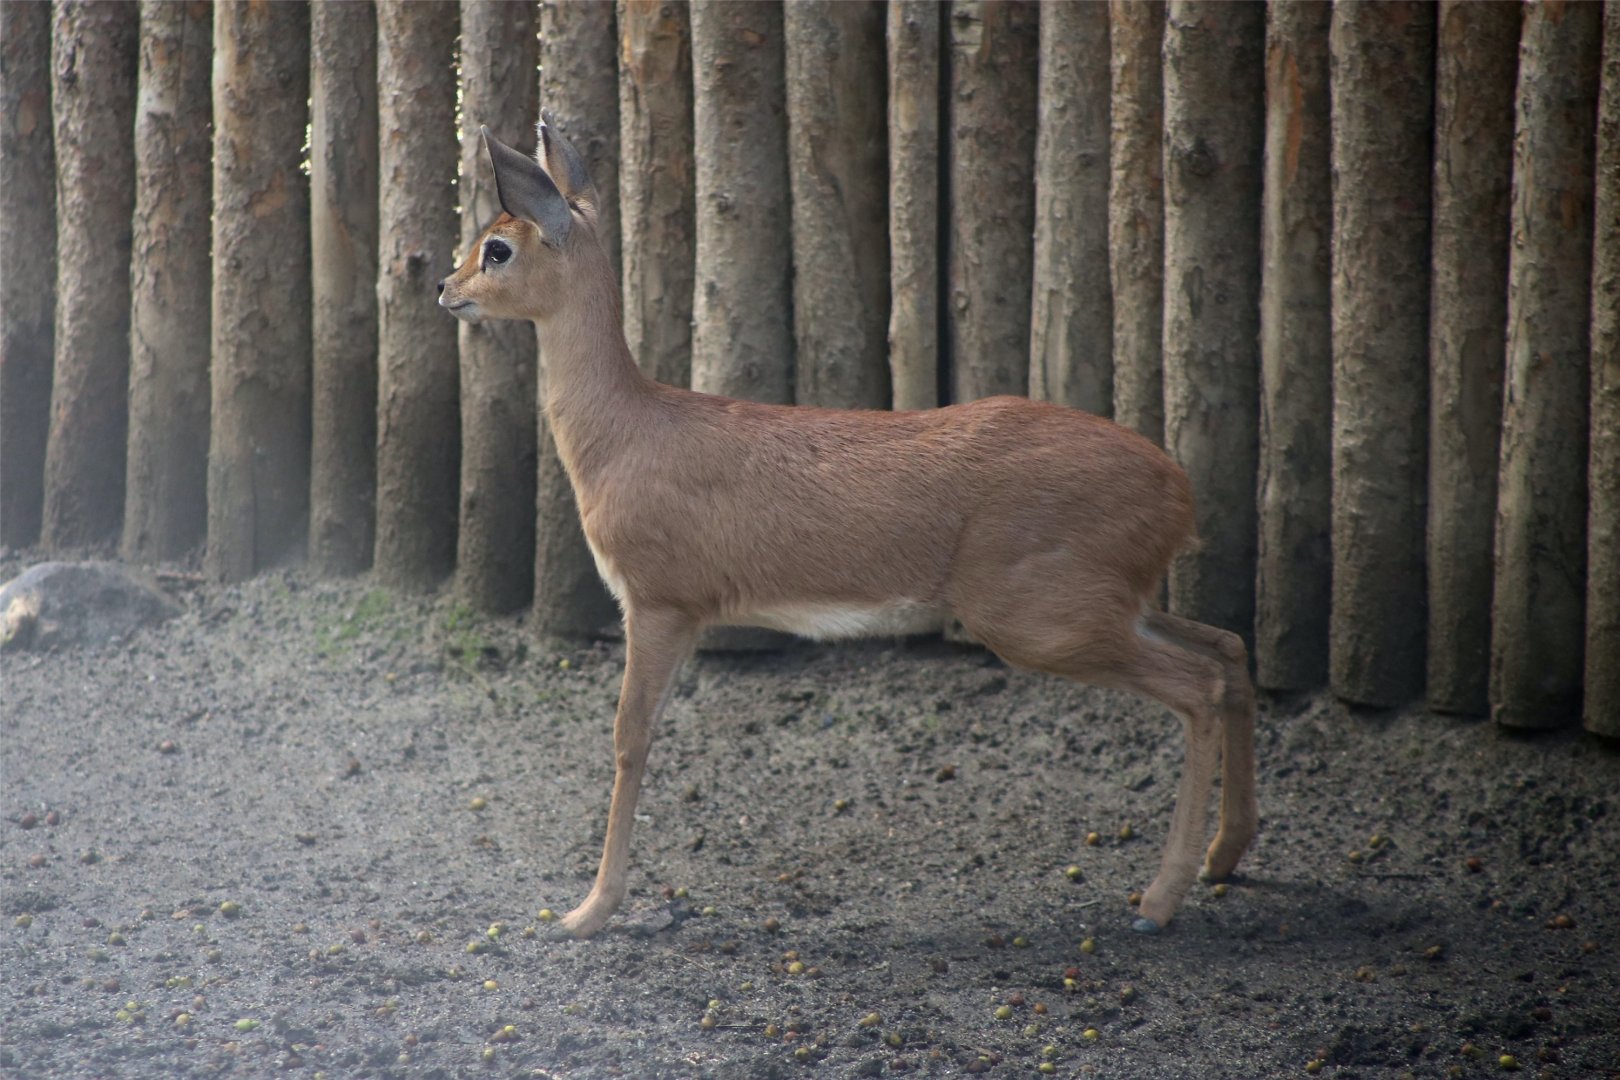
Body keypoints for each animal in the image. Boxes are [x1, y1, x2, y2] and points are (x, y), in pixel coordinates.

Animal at [437, 120, 1257, 940]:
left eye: (497, 246)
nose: (447, 288)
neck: (626, 433)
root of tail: (1179, 489)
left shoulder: (659, 602)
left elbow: (629, 738)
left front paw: (587, 912)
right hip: (1114, 602)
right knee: (1229, 648)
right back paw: (1223, 858)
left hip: (1040, 619)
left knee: (1198, 686)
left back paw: (1158, 901)